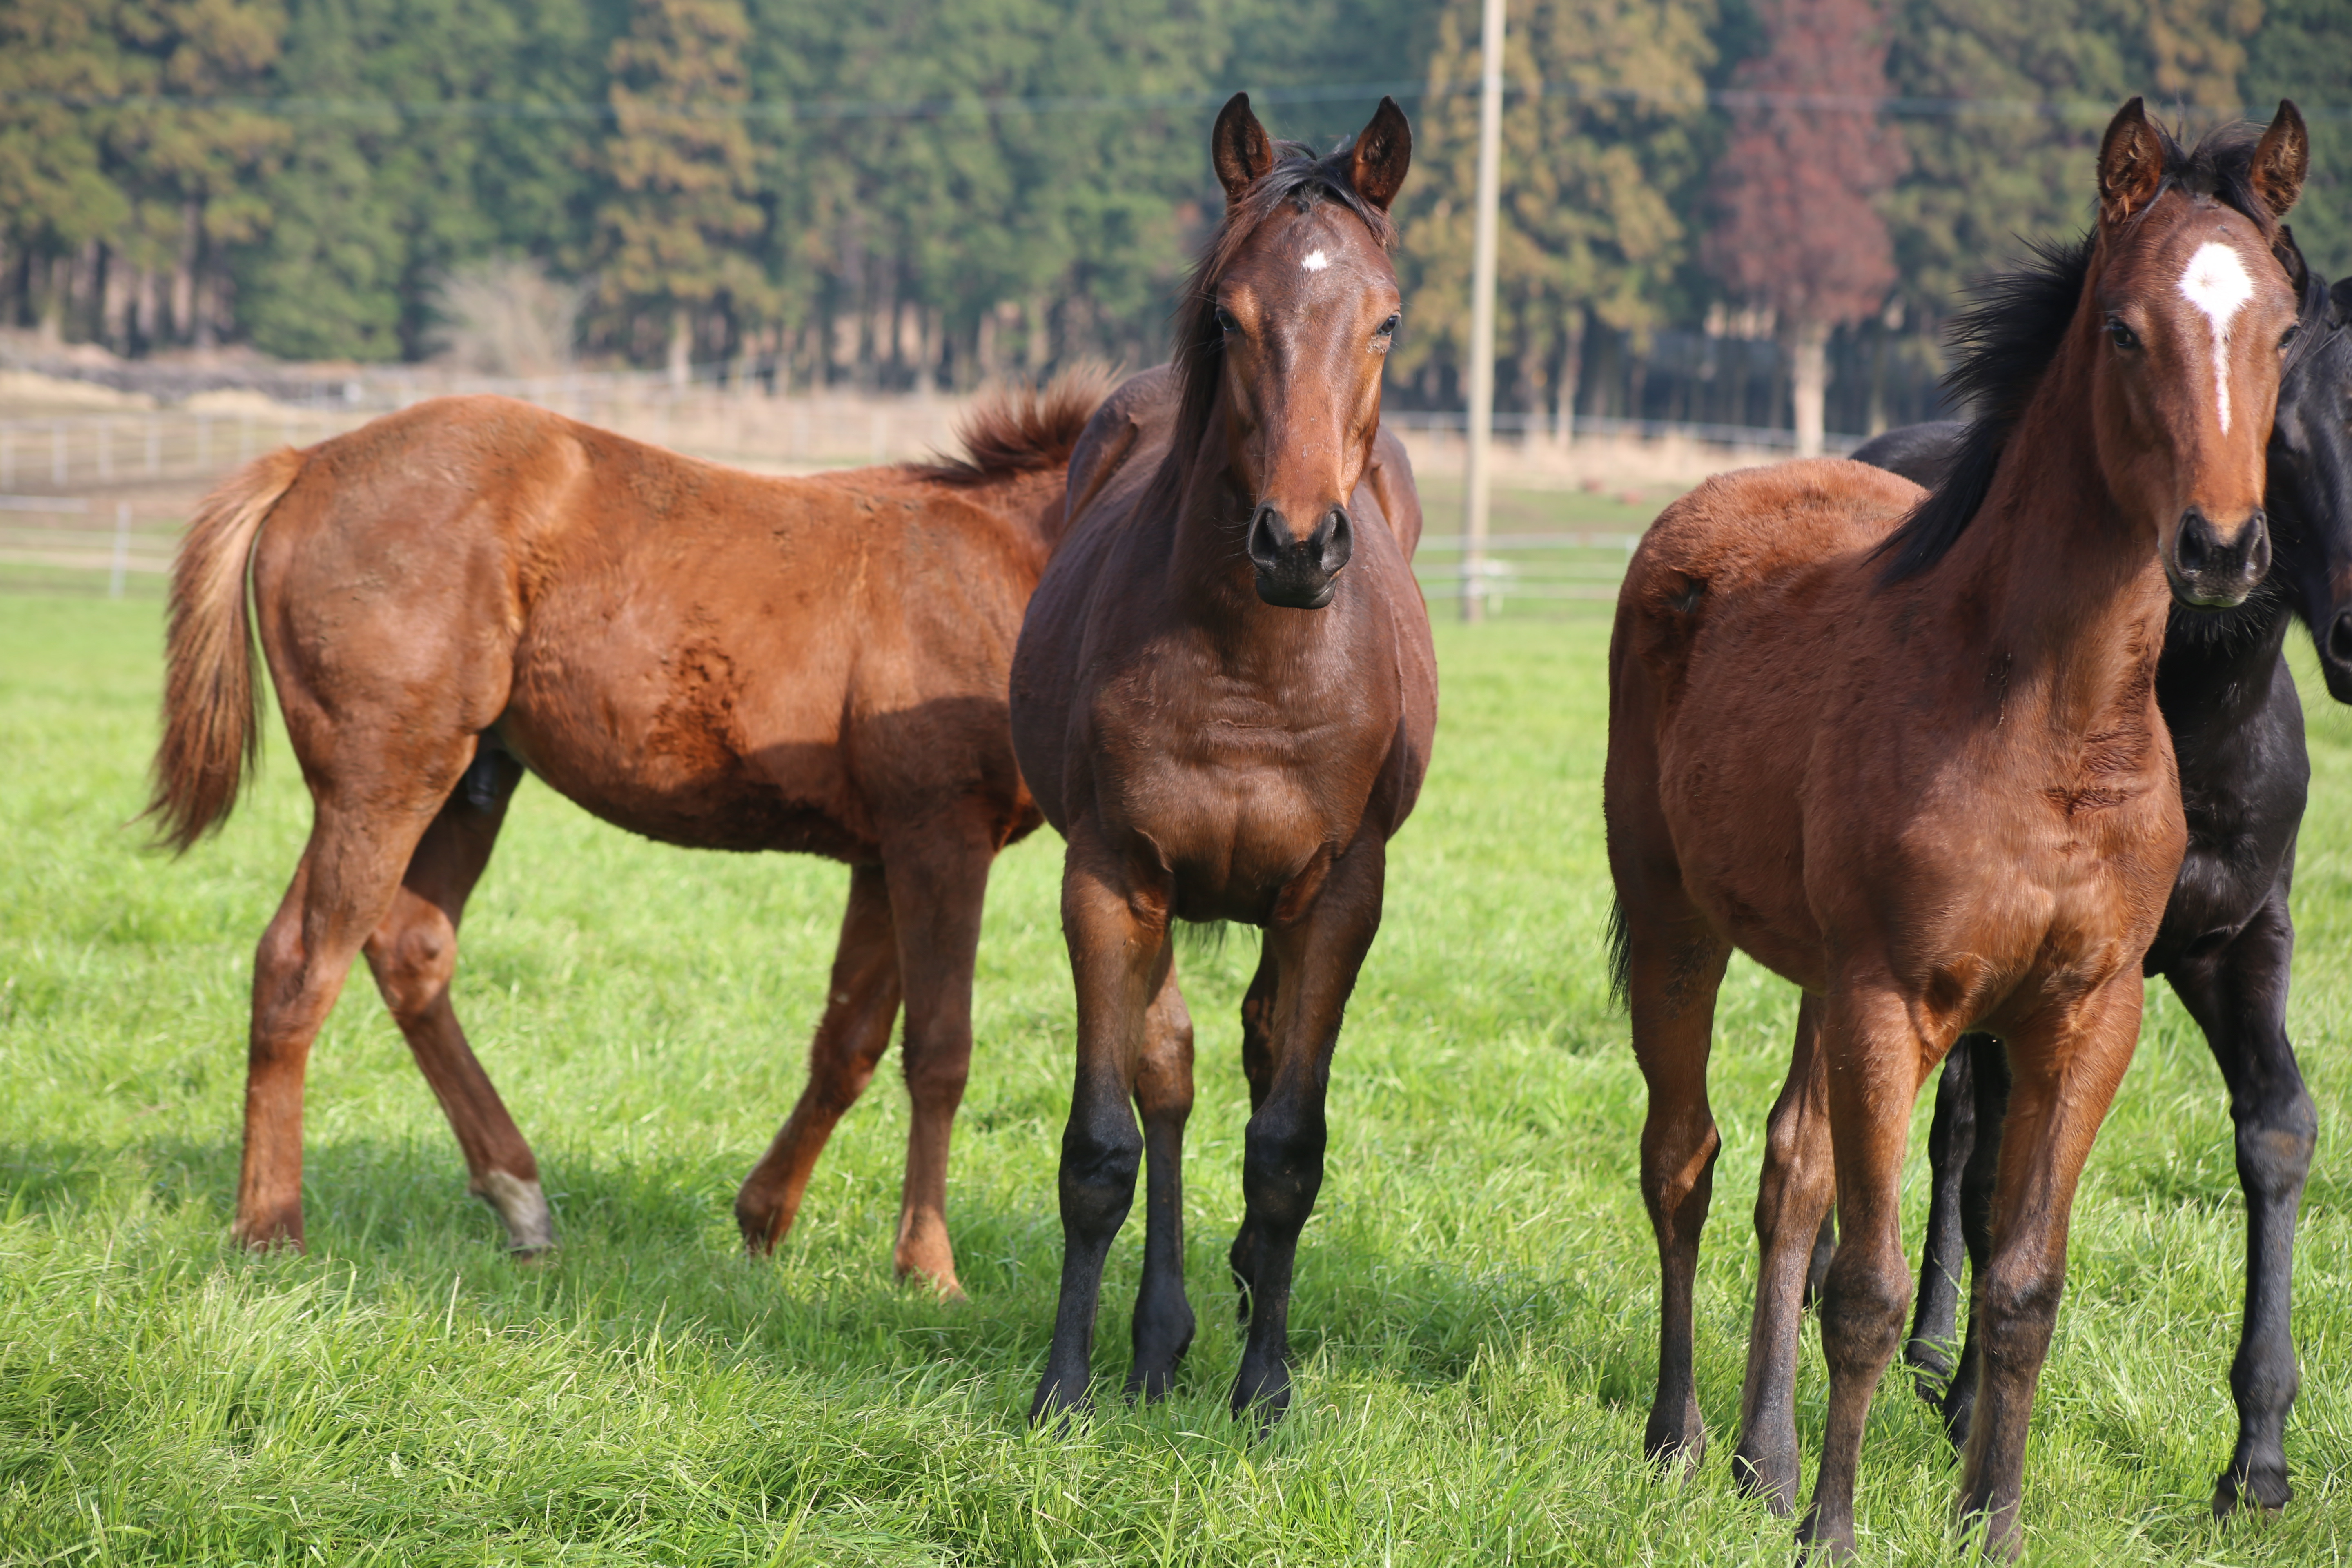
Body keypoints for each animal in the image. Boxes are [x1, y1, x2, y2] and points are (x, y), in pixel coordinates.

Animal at [151, 374, 1105, 1297]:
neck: (1007, 559)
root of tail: (309, 461)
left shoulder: (882, 856)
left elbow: (849, 1045)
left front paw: (763, 1221)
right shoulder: (942, 837)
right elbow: (940, 1053)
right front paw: (927, 1270)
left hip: (469, 784)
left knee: (409, 947)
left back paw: (521, 1202)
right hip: (380, 778)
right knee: (299, 964)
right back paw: (271, 1232)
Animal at [1007, 92, 1430, 1429]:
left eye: (1385, 319)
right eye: (1231, 318)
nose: (1296, 542)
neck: (1253, 665)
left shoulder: (1341, 895)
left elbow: (1289, 1147)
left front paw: (1266, 1389)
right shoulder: (1111, 879)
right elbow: (1101, 1148)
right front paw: (1065, 1387)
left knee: (1251, 1052)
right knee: (1174, 1075)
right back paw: (1159, 1336)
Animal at [1608, 101, 2305, 1561]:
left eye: (2282, 331)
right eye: (2125, 331)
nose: (2222, 547)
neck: (2057, 728)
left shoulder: (2086, 1016)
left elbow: (2023, 1282)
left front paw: (1991, 1520)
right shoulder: (1894, 999)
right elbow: (1871, 1290)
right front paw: (1832, 1530)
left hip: (1818, 977)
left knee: (1791, 1171)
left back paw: (1761, 1459)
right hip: (1676, 920)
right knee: (1684, 1159)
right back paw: (1682, 1438)